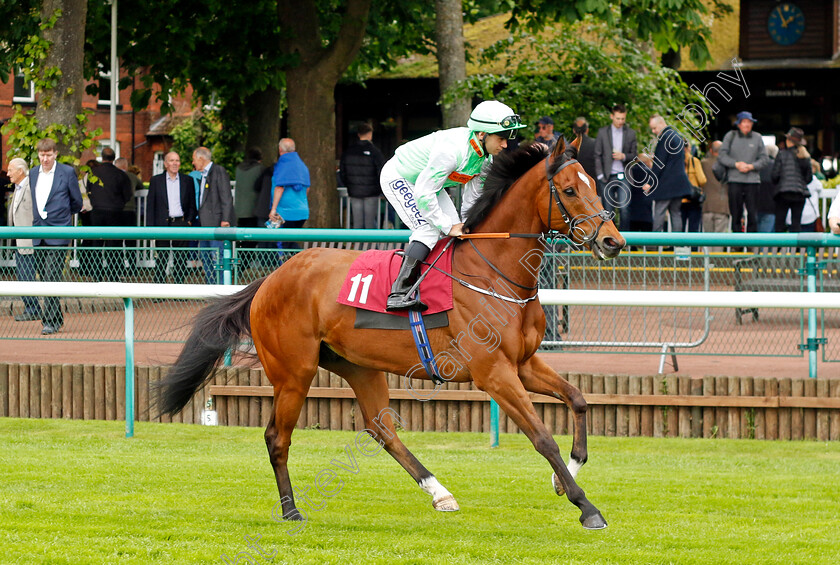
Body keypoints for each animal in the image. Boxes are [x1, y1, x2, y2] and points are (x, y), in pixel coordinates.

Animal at [158, 135, 624, 528]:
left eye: (593, 184)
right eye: (569, 190)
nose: (613, 241)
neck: (494, 273)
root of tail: (270, 280)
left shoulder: (523, 363)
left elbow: (579, 399)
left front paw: (565, 477)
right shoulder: (494, 372)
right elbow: (542, 436)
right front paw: (586, 506)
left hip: (358, 366)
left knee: (382, 429)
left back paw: (440, 493)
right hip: (294, 372)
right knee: (277, 437)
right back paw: (291, 510)